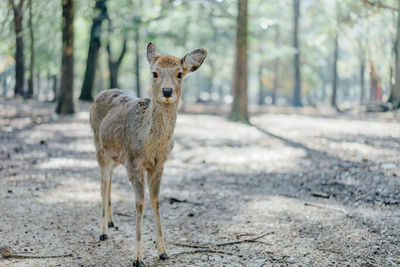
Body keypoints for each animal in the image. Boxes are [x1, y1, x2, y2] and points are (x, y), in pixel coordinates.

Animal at [89, 43, 208, 266]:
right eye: (154, 73)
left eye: (180, 73)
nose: (167, 91)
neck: (149, 145)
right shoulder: (133, 163)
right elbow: (140, 204)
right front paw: (137, 257)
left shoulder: (159, 165)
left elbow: (156, 202)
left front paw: (163, 251)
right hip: (99, 148)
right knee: (103, 183)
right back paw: (102, 232)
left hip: (115, 157)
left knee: (109, 181)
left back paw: (111, 222)